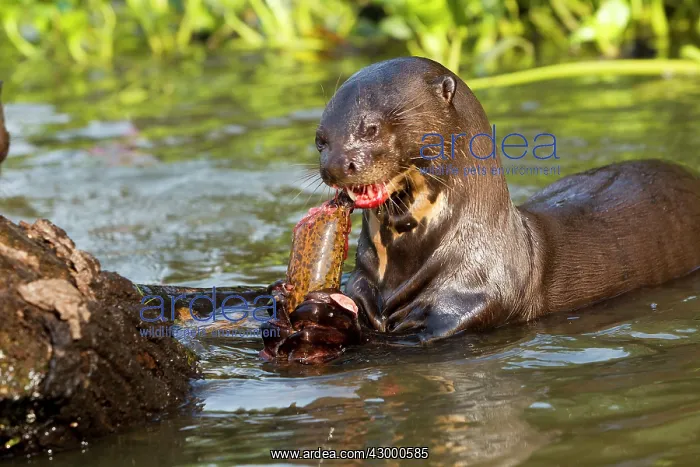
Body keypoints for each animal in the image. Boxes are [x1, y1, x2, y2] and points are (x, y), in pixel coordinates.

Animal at [261, 57, 700, 364]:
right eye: (320, 140)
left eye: (369, 128)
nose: (336, 166)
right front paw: (279, 301)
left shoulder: (471, 304)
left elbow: (394, 343)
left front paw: (325, 326)